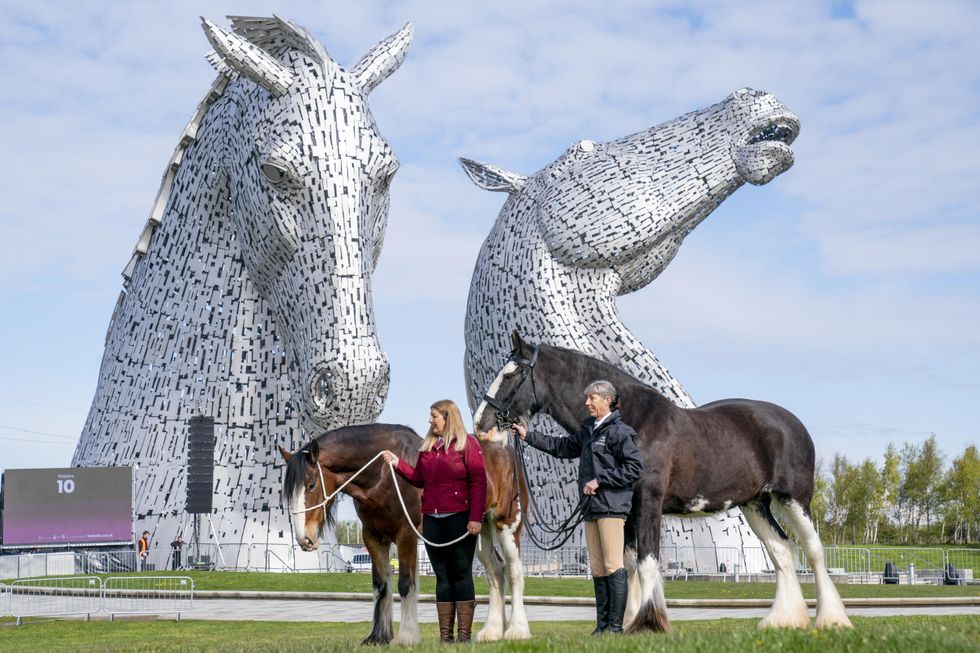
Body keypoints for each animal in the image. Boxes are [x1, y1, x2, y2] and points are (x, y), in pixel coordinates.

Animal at [472, 332, 848, 632]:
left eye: (511, 374)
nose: (481, 423)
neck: (633, 420)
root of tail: (790, 422)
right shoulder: (625, 510)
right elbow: (626, 564)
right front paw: (627, 622)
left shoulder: (648, 502)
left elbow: (647, 561)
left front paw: (649, 623)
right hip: (755, 504)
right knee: (782, 550)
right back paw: (782, 620)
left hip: (794, 498)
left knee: (813, 549)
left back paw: (830, 618)